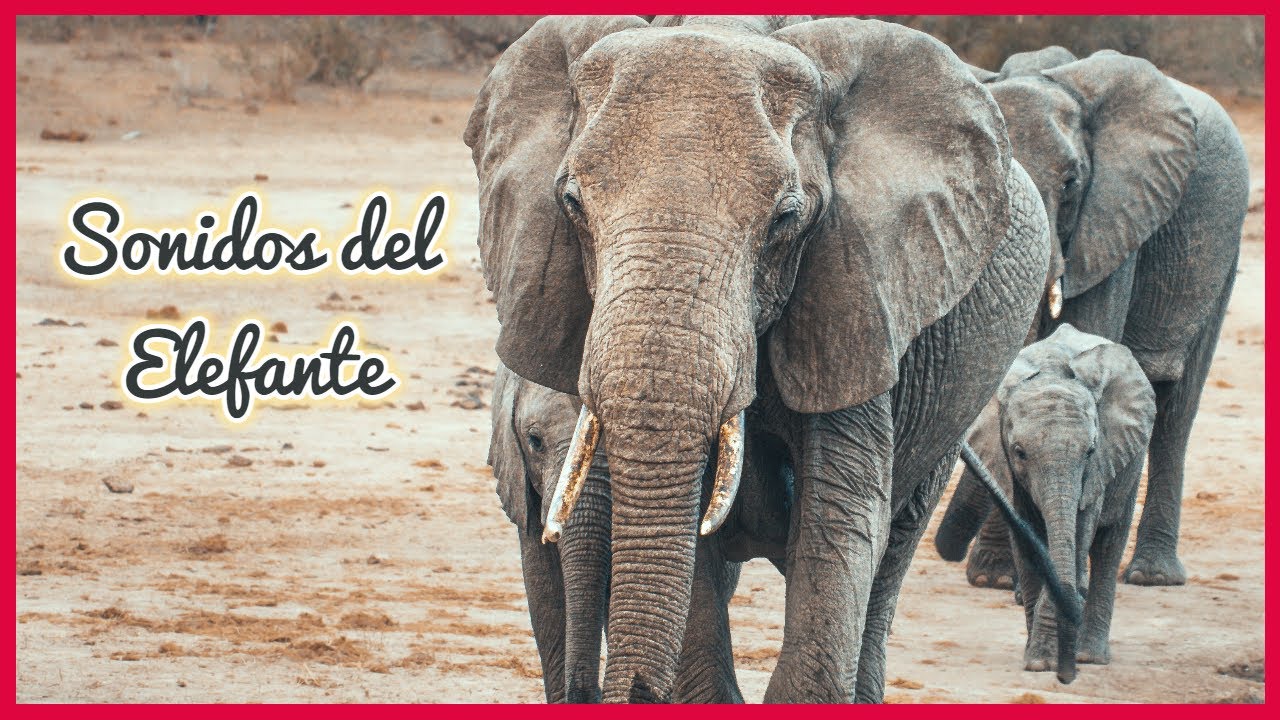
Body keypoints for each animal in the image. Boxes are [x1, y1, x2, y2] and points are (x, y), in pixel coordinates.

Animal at [936, 324, 1157, 675]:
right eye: (1019, 452)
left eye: (1090, 450)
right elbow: (1028, 543)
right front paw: (1038, 659)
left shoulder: (1097, 468)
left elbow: (1078, 533)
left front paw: (1046, 660)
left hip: (1129, 462)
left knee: (1109, 544)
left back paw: (1090, 655)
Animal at [944, 46, 1249, 589]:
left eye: (1070, 184)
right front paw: (998, 578)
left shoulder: (1117, 212)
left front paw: (1005, 579)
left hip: (1224, 247)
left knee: (1177, 408)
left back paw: (1151, 576)